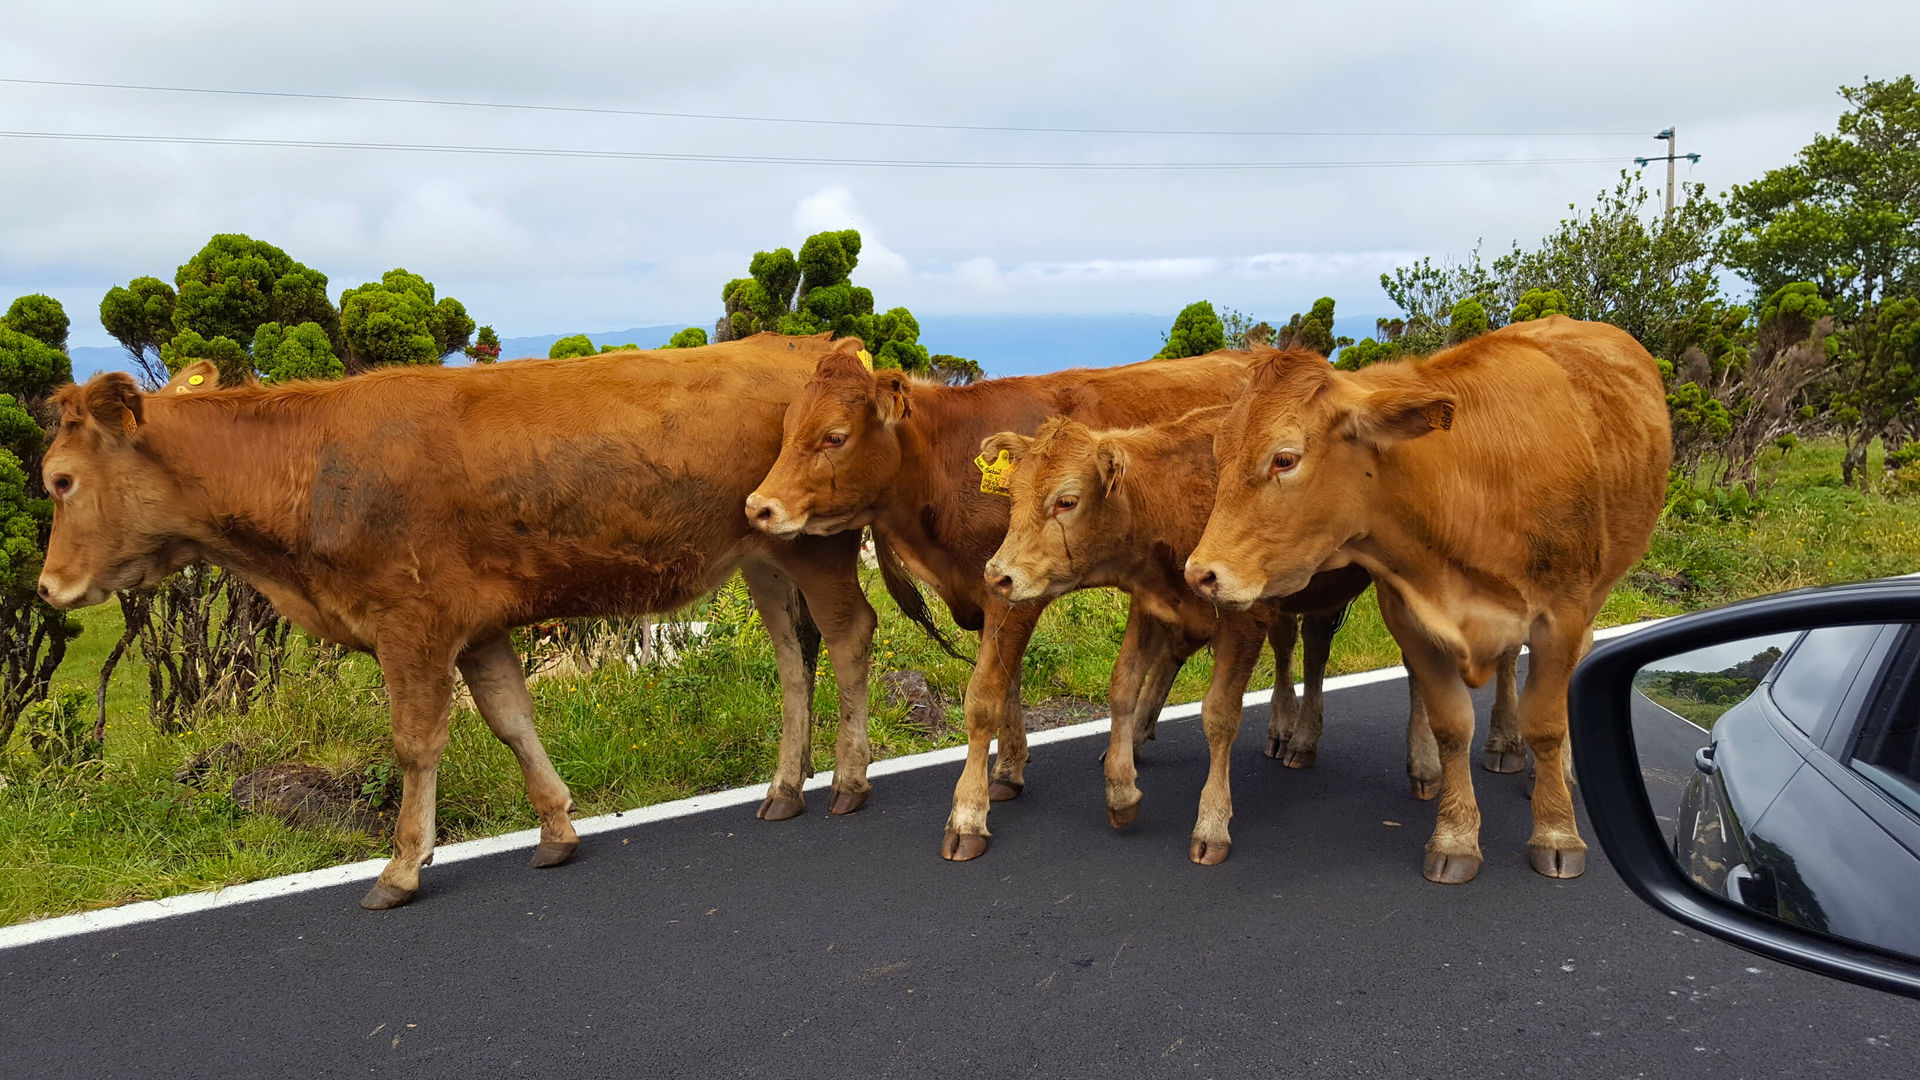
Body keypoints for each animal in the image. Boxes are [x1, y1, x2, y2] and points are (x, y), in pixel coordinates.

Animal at [37, 333, 881, 910]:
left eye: (60, 480)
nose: (47, 587)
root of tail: (803, 346)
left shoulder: (411, 624)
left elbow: (416, 744)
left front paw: (403, 866)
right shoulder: (479, 626)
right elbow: (511, 720)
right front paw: (556, 830)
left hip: (817, 550)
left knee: (849, 636)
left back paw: (847, 780)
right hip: (763, 557)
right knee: (794, 657)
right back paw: (783, 789)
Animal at [744, 350, 1268, 861]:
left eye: (835, 436)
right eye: (787, 429)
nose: (757, 507)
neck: (945, 462)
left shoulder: (1011, 596)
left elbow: (983, 698)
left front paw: (968, 815)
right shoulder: (996, 589)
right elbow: (1008, 684)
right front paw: (1008, 772)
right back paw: (1135, 743)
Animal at [1186, 317, 1670, 884]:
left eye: (1285, 458)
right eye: (1218, 454)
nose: (1201, 574)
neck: (1467, 490)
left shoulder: (1562, 614)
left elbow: (1547, 724)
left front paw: (1556, 832)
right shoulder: (1410, 617)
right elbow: (1451, 726)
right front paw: (1456, 837)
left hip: (1596, 590)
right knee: (1508, 662)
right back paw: (1503, 743)